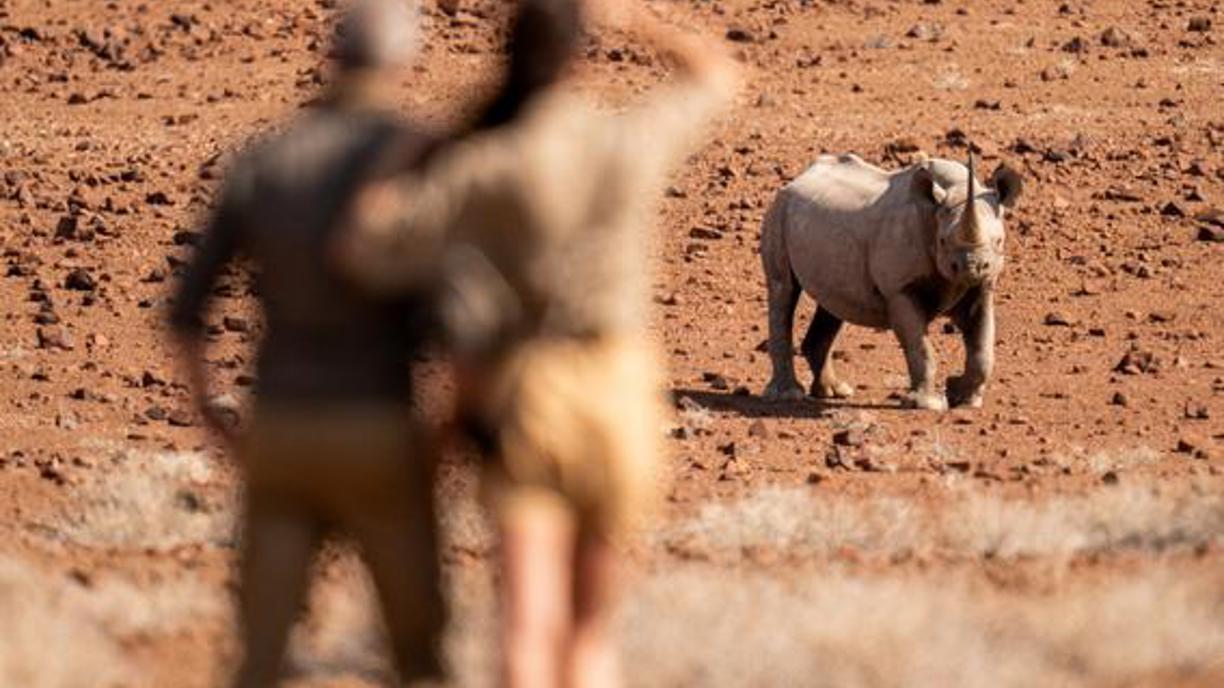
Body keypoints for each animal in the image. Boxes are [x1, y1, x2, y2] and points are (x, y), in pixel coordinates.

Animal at [760, 151, 1023, 410]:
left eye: (999, 242)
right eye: (942, 241)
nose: (972, 267)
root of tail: (797, 179)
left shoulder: (982, 287)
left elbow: (983, 348)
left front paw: (964, 399)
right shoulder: (899, 289)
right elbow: (920, 347)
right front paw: (928, 404)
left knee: (832, 304)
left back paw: (834, 392)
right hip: (778, 211)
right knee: (783, 290)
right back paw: (789, 396)